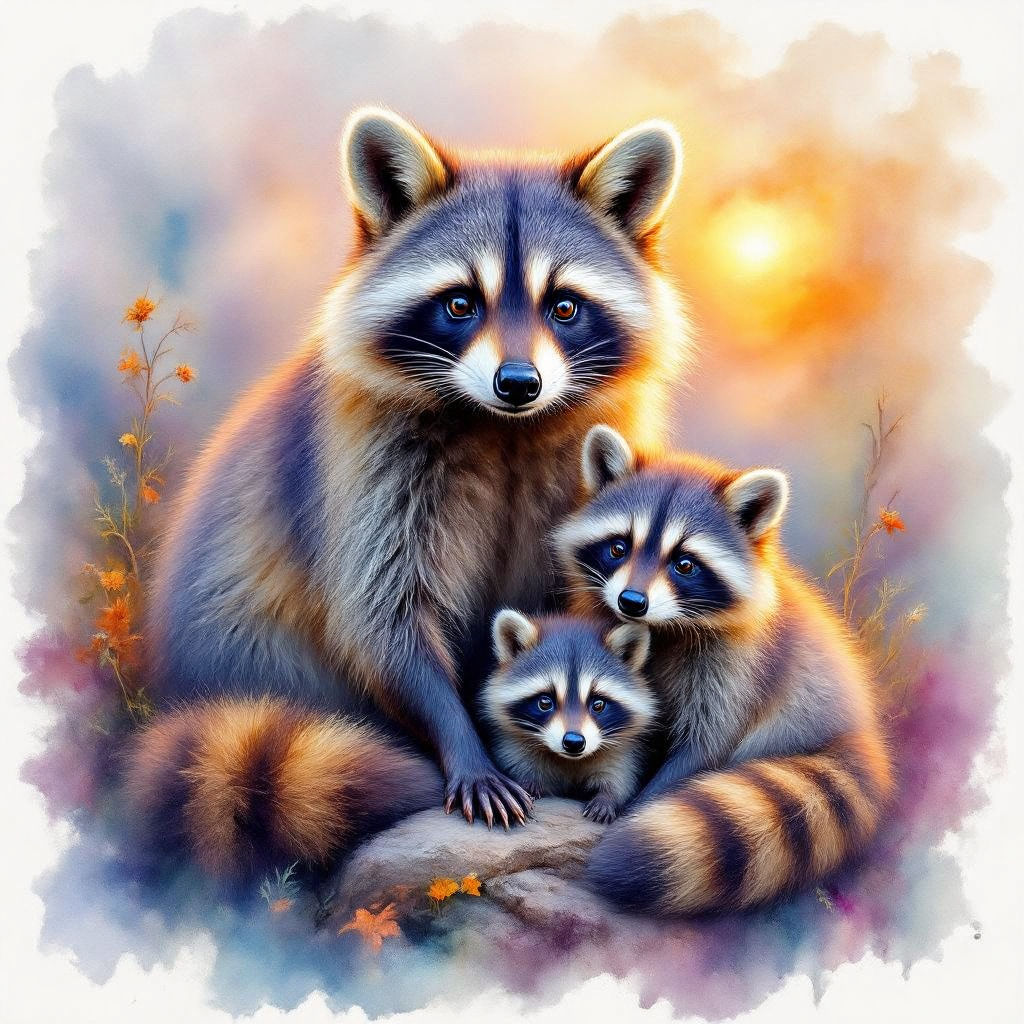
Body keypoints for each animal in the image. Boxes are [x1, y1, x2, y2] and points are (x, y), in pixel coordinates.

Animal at [480, 610, 657, 823]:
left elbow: (621, 774)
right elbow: (518, 762)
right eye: (545, 702)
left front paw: (610, 797)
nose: (574, 742)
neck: (570, 760)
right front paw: (527, 783)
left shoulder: (623, 750)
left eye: (598, 704)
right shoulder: (513, 745)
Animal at [554, 425, 894, 914]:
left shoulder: (741, 665)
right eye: (619, 547)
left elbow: (706, 744)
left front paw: (640, 803)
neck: (663, 627)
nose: (631, 602)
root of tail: (863, 735)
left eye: (685, 563)